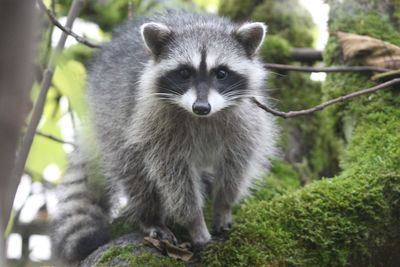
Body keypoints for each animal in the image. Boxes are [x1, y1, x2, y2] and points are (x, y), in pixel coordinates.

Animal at [51, 9, 276, 264]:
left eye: (221, 73)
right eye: (184, 73)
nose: (201, 107)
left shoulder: (246, 121)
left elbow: (236, 165)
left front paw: (223, 205)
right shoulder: (156, 125)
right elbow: (174, 178)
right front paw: (195, 222)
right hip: (111, 115)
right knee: (133, 169)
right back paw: (149, 216)